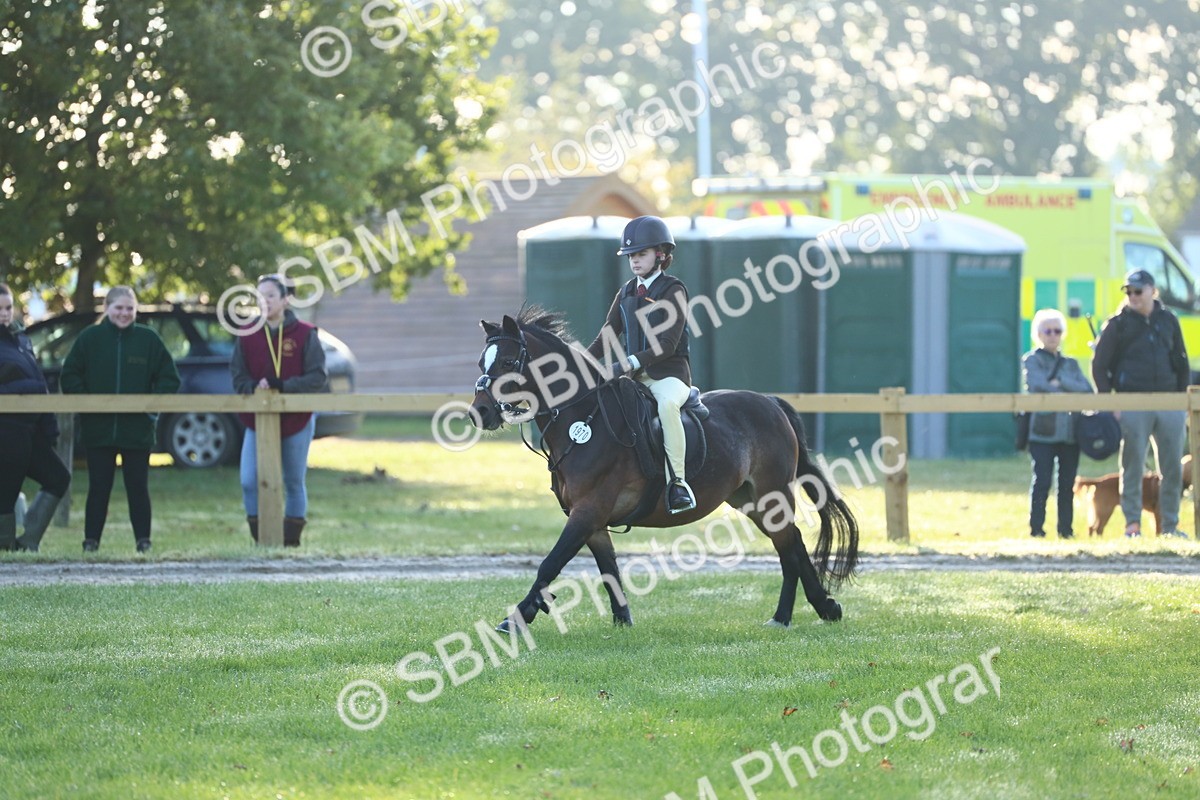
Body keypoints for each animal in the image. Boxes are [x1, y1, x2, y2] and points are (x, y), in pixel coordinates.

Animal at [472, 308, 860, 631]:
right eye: (481, 363)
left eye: (508, 360)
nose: (480, 412)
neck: (583, 421)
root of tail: (771, 403)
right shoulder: (592, 521)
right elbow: (608, 569)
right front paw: (622, 621)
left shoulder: (587, 512)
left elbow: (549, 564)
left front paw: (516, 619)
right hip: (749, 501)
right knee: (792, 543)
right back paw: (822, 608)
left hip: (772, 495)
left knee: (789, 548)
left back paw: (786, 616)